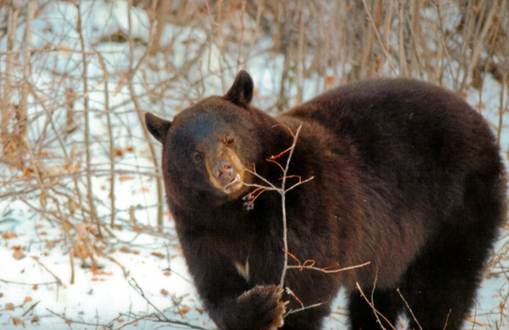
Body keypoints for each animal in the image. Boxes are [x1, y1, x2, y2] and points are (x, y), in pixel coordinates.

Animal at [145, 71, 506, 328]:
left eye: (229, 138)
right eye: (195, 154)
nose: (225, 171)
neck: (237, 211)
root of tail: (480, 121)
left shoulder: (302, 207)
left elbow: (305, 284)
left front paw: (277, 304)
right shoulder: (199, 227)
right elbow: (216, 285)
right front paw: (260, 303)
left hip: (454, 209)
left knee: (442, 289)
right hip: (390, 247)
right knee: (376, 296)